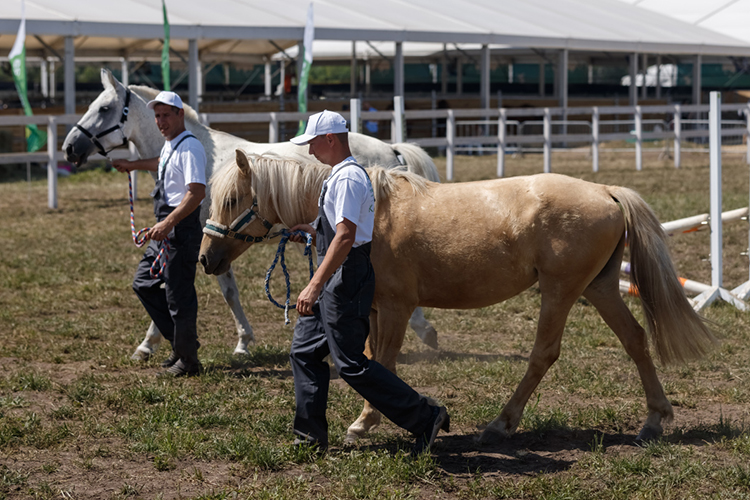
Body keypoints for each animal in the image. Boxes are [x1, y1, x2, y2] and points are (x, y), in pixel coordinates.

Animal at [63, 69, 440, 360]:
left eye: (104, 108)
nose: (69, 148)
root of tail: (390, 148)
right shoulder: (215, 242)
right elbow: (224, 290)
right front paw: (242, 342)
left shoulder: (201, 241)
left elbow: (182, 288)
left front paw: (149, 343)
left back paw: (423, 329)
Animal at [200, 151, 716, 442]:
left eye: (231, 200)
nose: (206, 258)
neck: (372, 213)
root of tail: (607, 191)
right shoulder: (374, 308)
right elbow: (371, 359)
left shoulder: (397, 307)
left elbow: (383, 362)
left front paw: (366, 423)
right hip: (601, 287)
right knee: (635, 340)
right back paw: (654, 420)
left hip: (561, 291)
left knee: (544, 353)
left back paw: (501, 424)